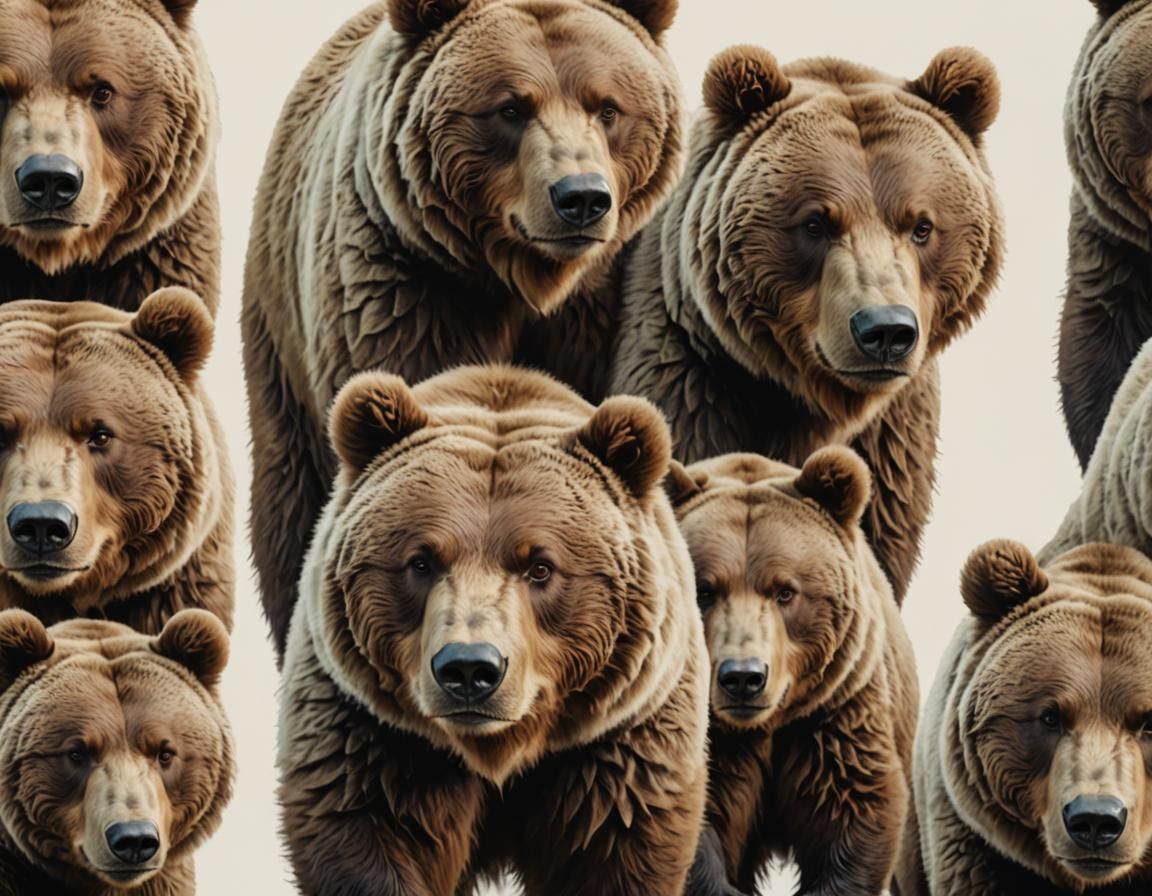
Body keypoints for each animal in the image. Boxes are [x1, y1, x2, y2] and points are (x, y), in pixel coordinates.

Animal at [242, 0, 685, 658]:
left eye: (607, 107)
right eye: (511, 107)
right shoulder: (409, 287)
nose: (581, 197)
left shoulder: (605, 299)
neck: (525, 279)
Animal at [278, 364, 709, 896]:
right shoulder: (369, 731)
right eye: (422, 561)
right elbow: (360, 826)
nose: (468, 669)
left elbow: (618, 843)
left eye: (540, 566)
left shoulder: (619, 740)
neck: (497, 749)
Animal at [610, 44, 1005, 606]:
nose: (884, 331)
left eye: (921, 226)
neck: (812, 398)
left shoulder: (890, 436)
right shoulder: (693, 374)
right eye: (816, 222)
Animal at [666, 448, 918, 896]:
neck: (766, 725)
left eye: (785, 591)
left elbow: (854, 811)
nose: (743, 677)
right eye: (705, 590)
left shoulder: (834, 712)